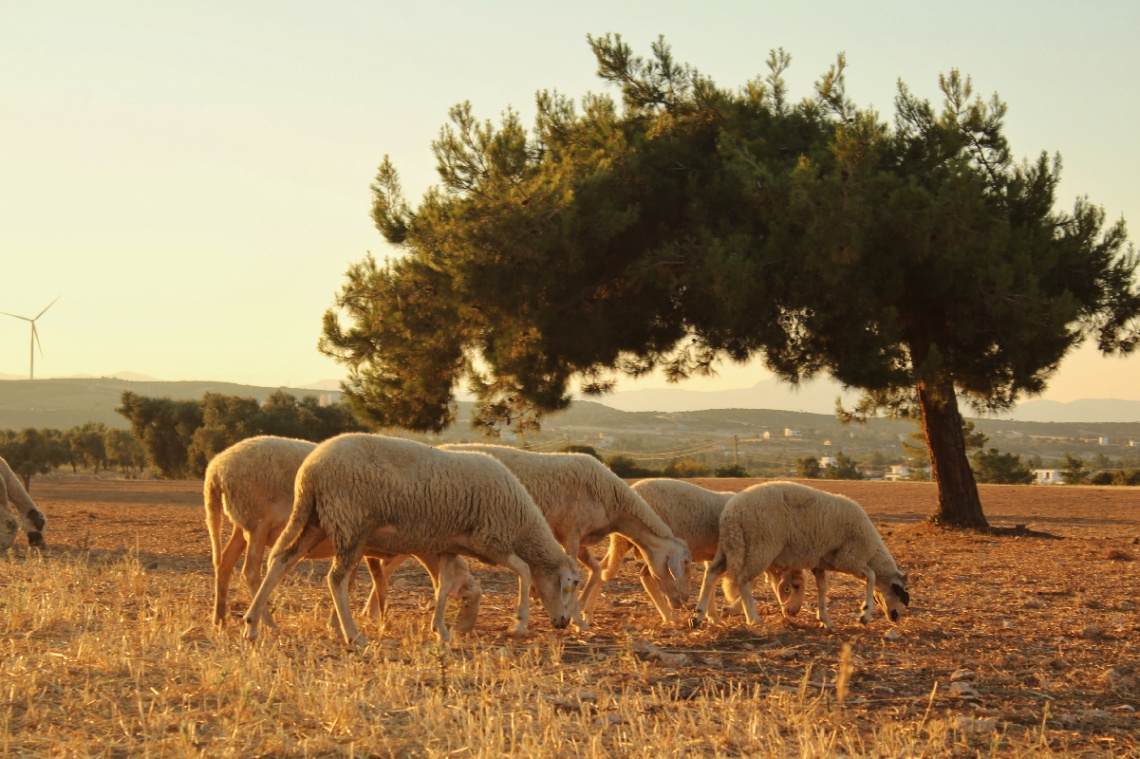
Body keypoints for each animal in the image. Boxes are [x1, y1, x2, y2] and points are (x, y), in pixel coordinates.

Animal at [205, 435, 481, 629]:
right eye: (466, 598)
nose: (464, 632)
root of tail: (215, 470)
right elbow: (363, 580)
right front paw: (349, 622)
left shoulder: (367, 546)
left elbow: (373, 580)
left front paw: (375, 619)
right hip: (258, 523)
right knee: (251, 571)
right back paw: (268, 623)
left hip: (242, 525)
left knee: (224, 562)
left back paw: (220, 618)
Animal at [240, 430, 579, 642]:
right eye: (570, 586)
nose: (564, 623)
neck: (524, 524)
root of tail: (309, 472)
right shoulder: (491, 540)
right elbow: (524, 568)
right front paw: (519, 622)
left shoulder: (447, 546)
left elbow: (443, 586)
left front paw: (440, 630)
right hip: (350, 523)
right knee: (335, 579)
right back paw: (353, 635)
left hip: (315, 521)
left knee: (280, 563)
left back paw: (253, 624)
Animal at [442, 444, 693, 624]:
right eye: (685, 563)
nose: (684, 601)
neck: (613, 501)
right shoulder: (572, 532)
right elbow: (575, 571)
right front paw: (574, 615)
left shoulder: (579, 539)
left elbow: (597, 571)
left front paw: (582, 612)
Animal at [597, 478, 811, 619]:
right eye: (796, 586)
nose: (794, 612)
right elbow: (749, 582)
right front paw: (729, 610)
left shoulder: (714, 555)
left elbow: (711, 580)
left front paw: (711, 615)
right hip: (655, 547)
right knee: (647, 576)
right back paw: (670, 614)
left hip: (622, 543)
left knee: (604, 568)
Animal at [684, 480, 907, 629]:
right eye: (899, 592)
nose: (896, 617)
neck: (872, 551)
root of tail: (732, 513)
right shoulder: (849, 557)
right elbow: (872, 576)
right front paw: (864, 613)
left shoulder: (821, 561)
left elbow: (823, 587)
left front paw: (825, 619)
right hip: (759, 547)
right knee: (743, 581)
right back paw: (753, 619)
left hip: (729, 547)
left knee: (711, 574)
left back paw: (699, 615)